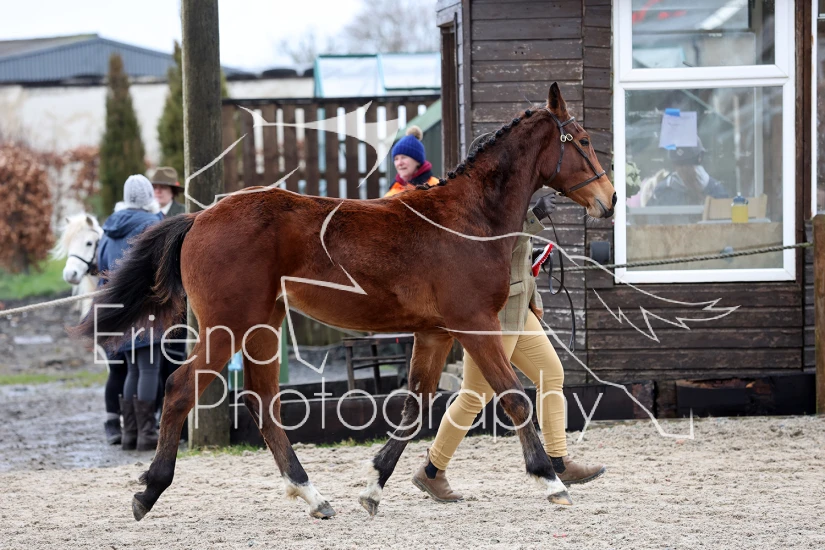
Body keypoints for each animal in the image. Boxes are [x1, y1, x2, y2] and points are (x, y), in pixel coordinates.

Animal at [74, 84, 616, 521]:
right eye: (583, 141)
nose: (608, 200)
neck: (468, 218)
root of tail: (199, 218)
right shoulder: (475, 324)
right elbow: (515, 397)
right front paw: (551, 481)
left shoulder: (436, 332)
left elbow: (416, 404)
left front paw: (373, 489)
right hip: (228, 327)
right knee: (182, 388)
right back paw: (149, 491)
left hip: (263, 326)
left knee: (262, 401)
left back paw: (312, 496)